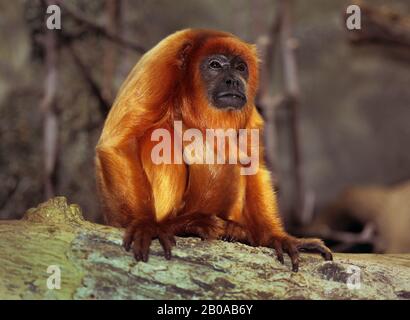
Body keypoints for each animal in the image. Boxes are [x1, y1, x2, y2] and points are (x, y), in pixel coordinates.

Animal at [94, 30, 332, 272]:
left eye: (240, 67)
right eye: (215, 65)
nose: (233, 80)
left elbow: (252, 163)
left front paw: (276, 237)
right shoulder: (158, 68)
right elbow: (119, 143)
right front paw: (145, 224)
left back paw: (232, 229)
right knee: (162, 136)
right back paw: (180, 225)